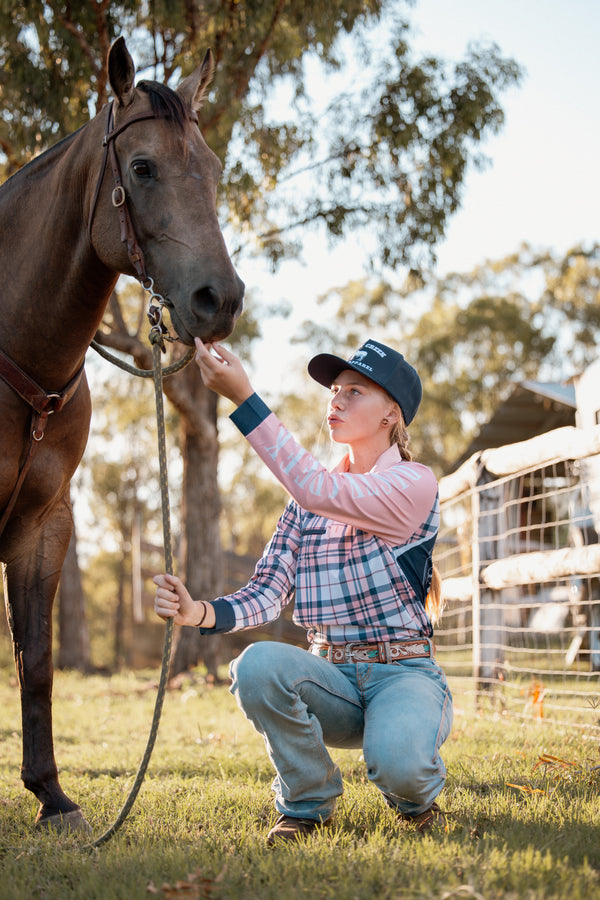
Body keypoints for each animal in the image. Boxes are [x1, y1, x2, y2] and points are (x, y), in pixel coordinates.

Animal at [0, 37, 244, 836]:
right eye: (142, 168)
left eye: (216, 168)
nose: (220, 299)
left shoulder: (45, 525)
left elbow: (38, 661)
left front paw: (51, 796)